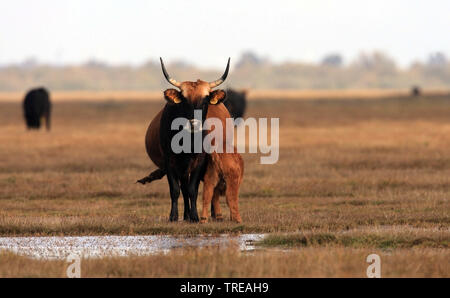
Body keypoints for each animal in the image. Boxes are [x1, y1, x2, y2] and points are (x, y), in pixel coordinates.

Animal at [137, 58, 243, 222]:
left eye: (205, 100)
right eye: (184, 101)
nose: (194, 123)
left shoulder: (199, 160)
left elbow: (193, 189)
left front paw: (195, 216)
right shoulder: (170, 160)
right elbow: (176, 189)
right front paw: (174, 216)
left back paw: (215, 214)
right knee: (184, 188)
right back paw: (186, 214)